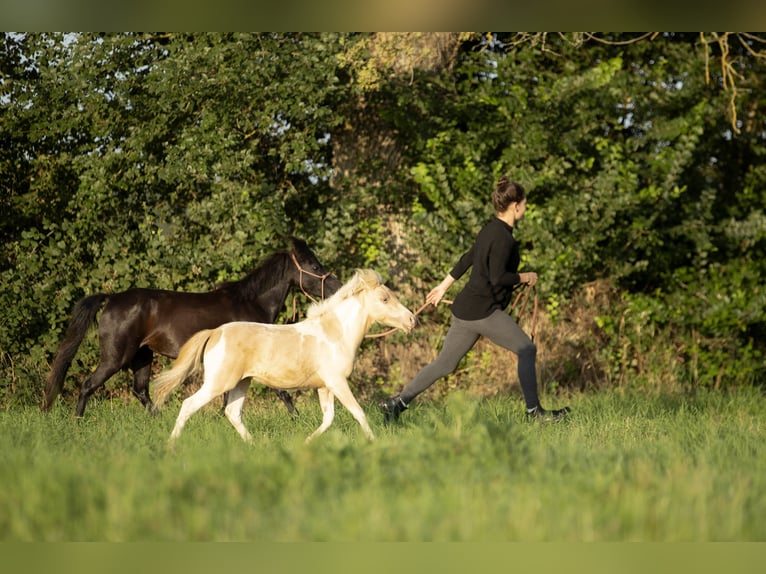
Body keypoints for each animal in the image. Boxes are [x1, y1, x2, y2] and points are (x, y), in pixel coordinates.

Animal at [150, 270, 414, 446]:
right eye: (385, 299)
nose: (411, 320)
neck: (336, 333)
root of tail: (215, 333)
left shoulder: (324, 386)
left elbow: (328, 419)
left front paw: (306, 443)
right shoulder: (337, 382)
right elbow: (358, 412)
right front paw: (374, 442)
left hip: (241, 383)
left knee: (233, 413)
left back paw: (255, 446)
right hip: (218, 383)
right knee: (188, 405)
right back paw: (171, 447)